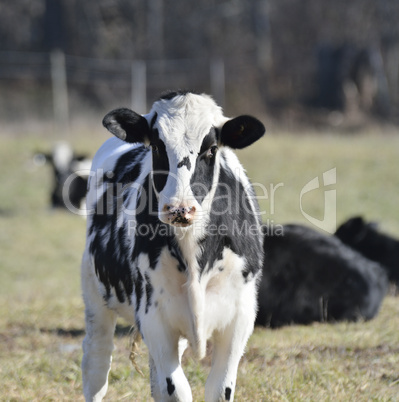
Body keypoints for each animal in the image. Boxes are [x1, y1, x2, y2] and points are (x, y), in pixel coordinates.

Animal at [82, 89, 266, 400]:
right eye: (157, 146)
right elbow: (176, 389)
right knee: (96, 364)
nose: (180, 208)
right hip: (95, 298)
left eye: (211, 149)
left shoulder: (238, 317)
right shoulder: (154, 317)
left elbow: (219, 388)